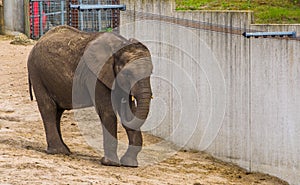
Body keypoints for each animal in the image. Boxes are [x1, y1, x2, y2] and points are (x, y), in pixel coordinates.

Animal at [27, 24, 154, 168]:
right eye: (128, 74)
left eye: (151, 72)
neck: (119, 47)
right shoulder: (95, 75)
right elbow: (107, 112)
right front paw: (111, 163)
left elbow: (128, 111)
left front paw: (129, 164)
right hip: (37, 73)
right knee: (48, 108)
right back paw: (59, 151)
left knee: (57, 112)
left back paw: (64, 150)